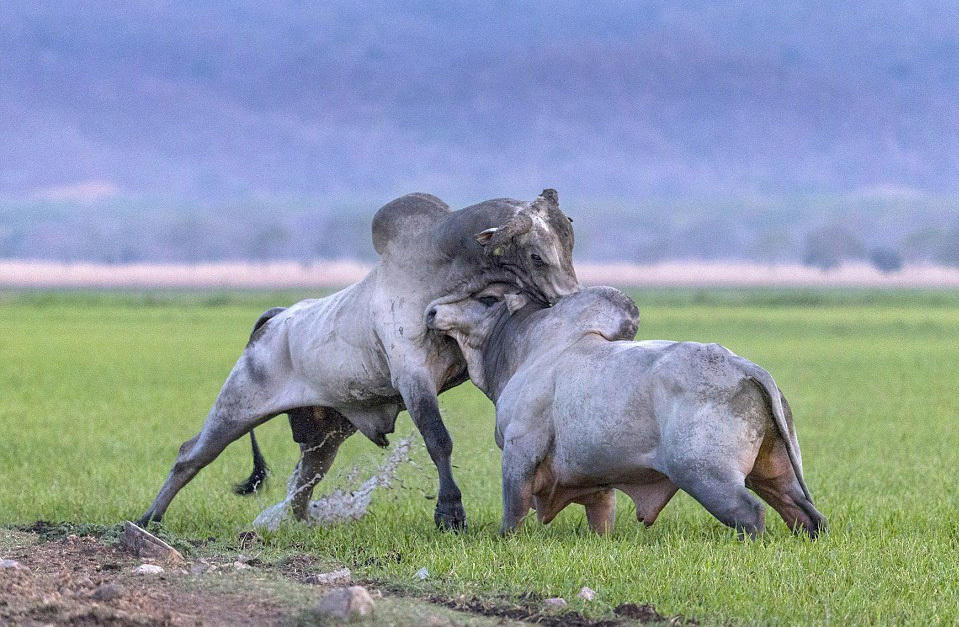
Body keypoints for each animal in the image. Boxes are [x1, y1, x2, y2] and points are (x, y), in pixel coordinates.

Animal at [137, 190, 576, 528]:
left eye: (570, 245)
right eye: (536, 256)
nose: (570, 296)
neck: (441, 272)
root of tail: (276, 319)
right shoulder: (413, 379)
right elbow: (439, 442)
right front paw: (450, 513)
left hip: (324, 436)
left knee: (303, 480)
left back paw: (300, 522)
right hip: (235, 409)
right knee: (190, 455)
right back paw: (149, 518)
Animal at [428, 288, 824, 536]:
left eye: (487, 298)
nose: (432, 311)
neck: (525, 351)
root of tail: (745, 368)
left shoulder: (518, 452)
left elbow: (513, 513)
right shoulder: (597, 483)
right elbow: (601, 518)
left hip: (706, 475)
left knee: (751, 515)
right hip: (774, 472)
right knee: (806, 514)